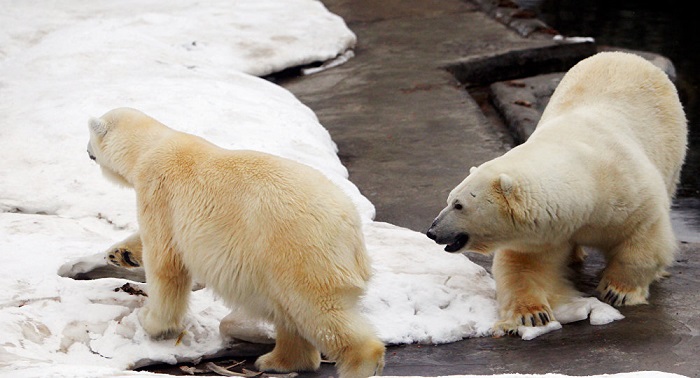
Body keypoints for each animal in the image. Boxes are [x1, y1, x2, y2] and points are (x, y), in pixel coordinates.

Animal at [86, 107, 388, 378]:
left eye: (90, 136)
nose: (86, 149)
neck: (151, 146)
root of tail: (352, 228)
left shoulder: (158, 191)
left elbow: (165, 262)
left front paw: (152, 323)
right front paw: (120, 253)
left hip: (300, 250)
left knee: (318, 310)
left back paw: (360, 364)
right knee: (289, 312)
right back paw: (277, 361)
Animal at [424, 51, 688, 336]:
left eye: (459, 205)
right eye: (449, 199)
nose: (432, 231)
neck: (587, 182)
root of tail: (626, 55)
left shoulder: (629, 192)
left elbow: (644, 236)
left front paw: (618, 292)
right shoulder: (545, 229)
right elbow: (524, 265)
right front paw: (532, 315)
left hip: (671, 142)